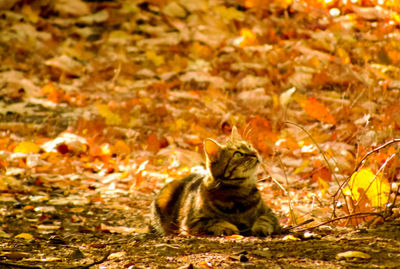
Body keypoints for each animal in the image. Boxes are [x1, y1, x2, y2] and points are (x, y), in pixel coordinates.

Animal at [151, 126, 282, 236]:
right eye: (237, 154)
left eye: (249, 146)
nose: (255, 153)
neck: (240, 192)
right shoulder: (191, 222)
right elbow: (214, 221)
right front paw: (228, 227)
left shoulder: (269, 213)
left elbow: (265, 219)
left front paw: (260, 228)